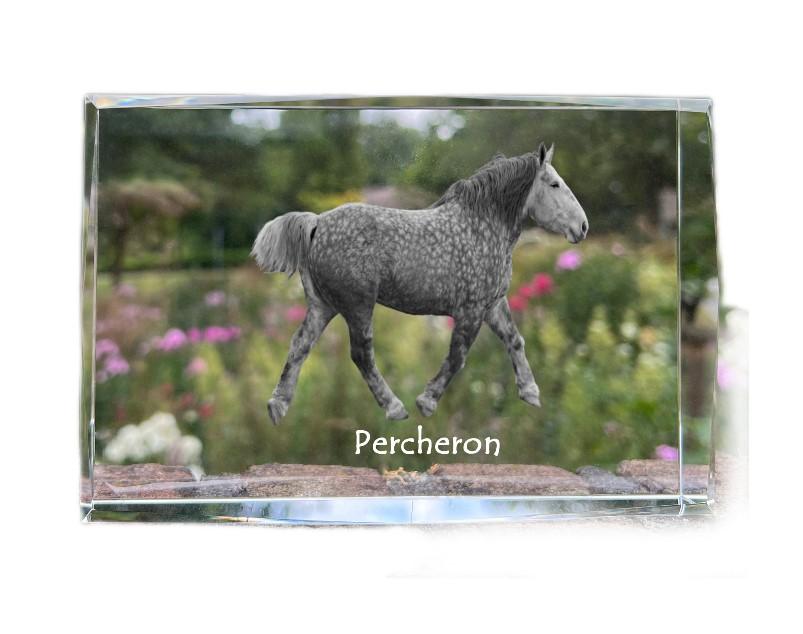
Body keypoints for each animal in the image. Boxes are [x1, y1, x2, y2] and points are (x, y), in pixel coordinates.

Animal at [252, 142, 588, 424]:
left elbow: (515, 340)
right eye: (555, 184)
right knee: (361, 354)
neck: (482, 226)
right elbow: (457, 356)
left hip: (324, 306)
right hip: (357, 306)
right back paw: (395, 407)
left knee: (300, 345)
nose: (583, 226)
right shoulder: (470, 311)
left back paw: (277, 406)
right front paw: (427, 401)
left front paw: (531, 393)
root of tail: (317, 223)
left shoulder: (493, 304)